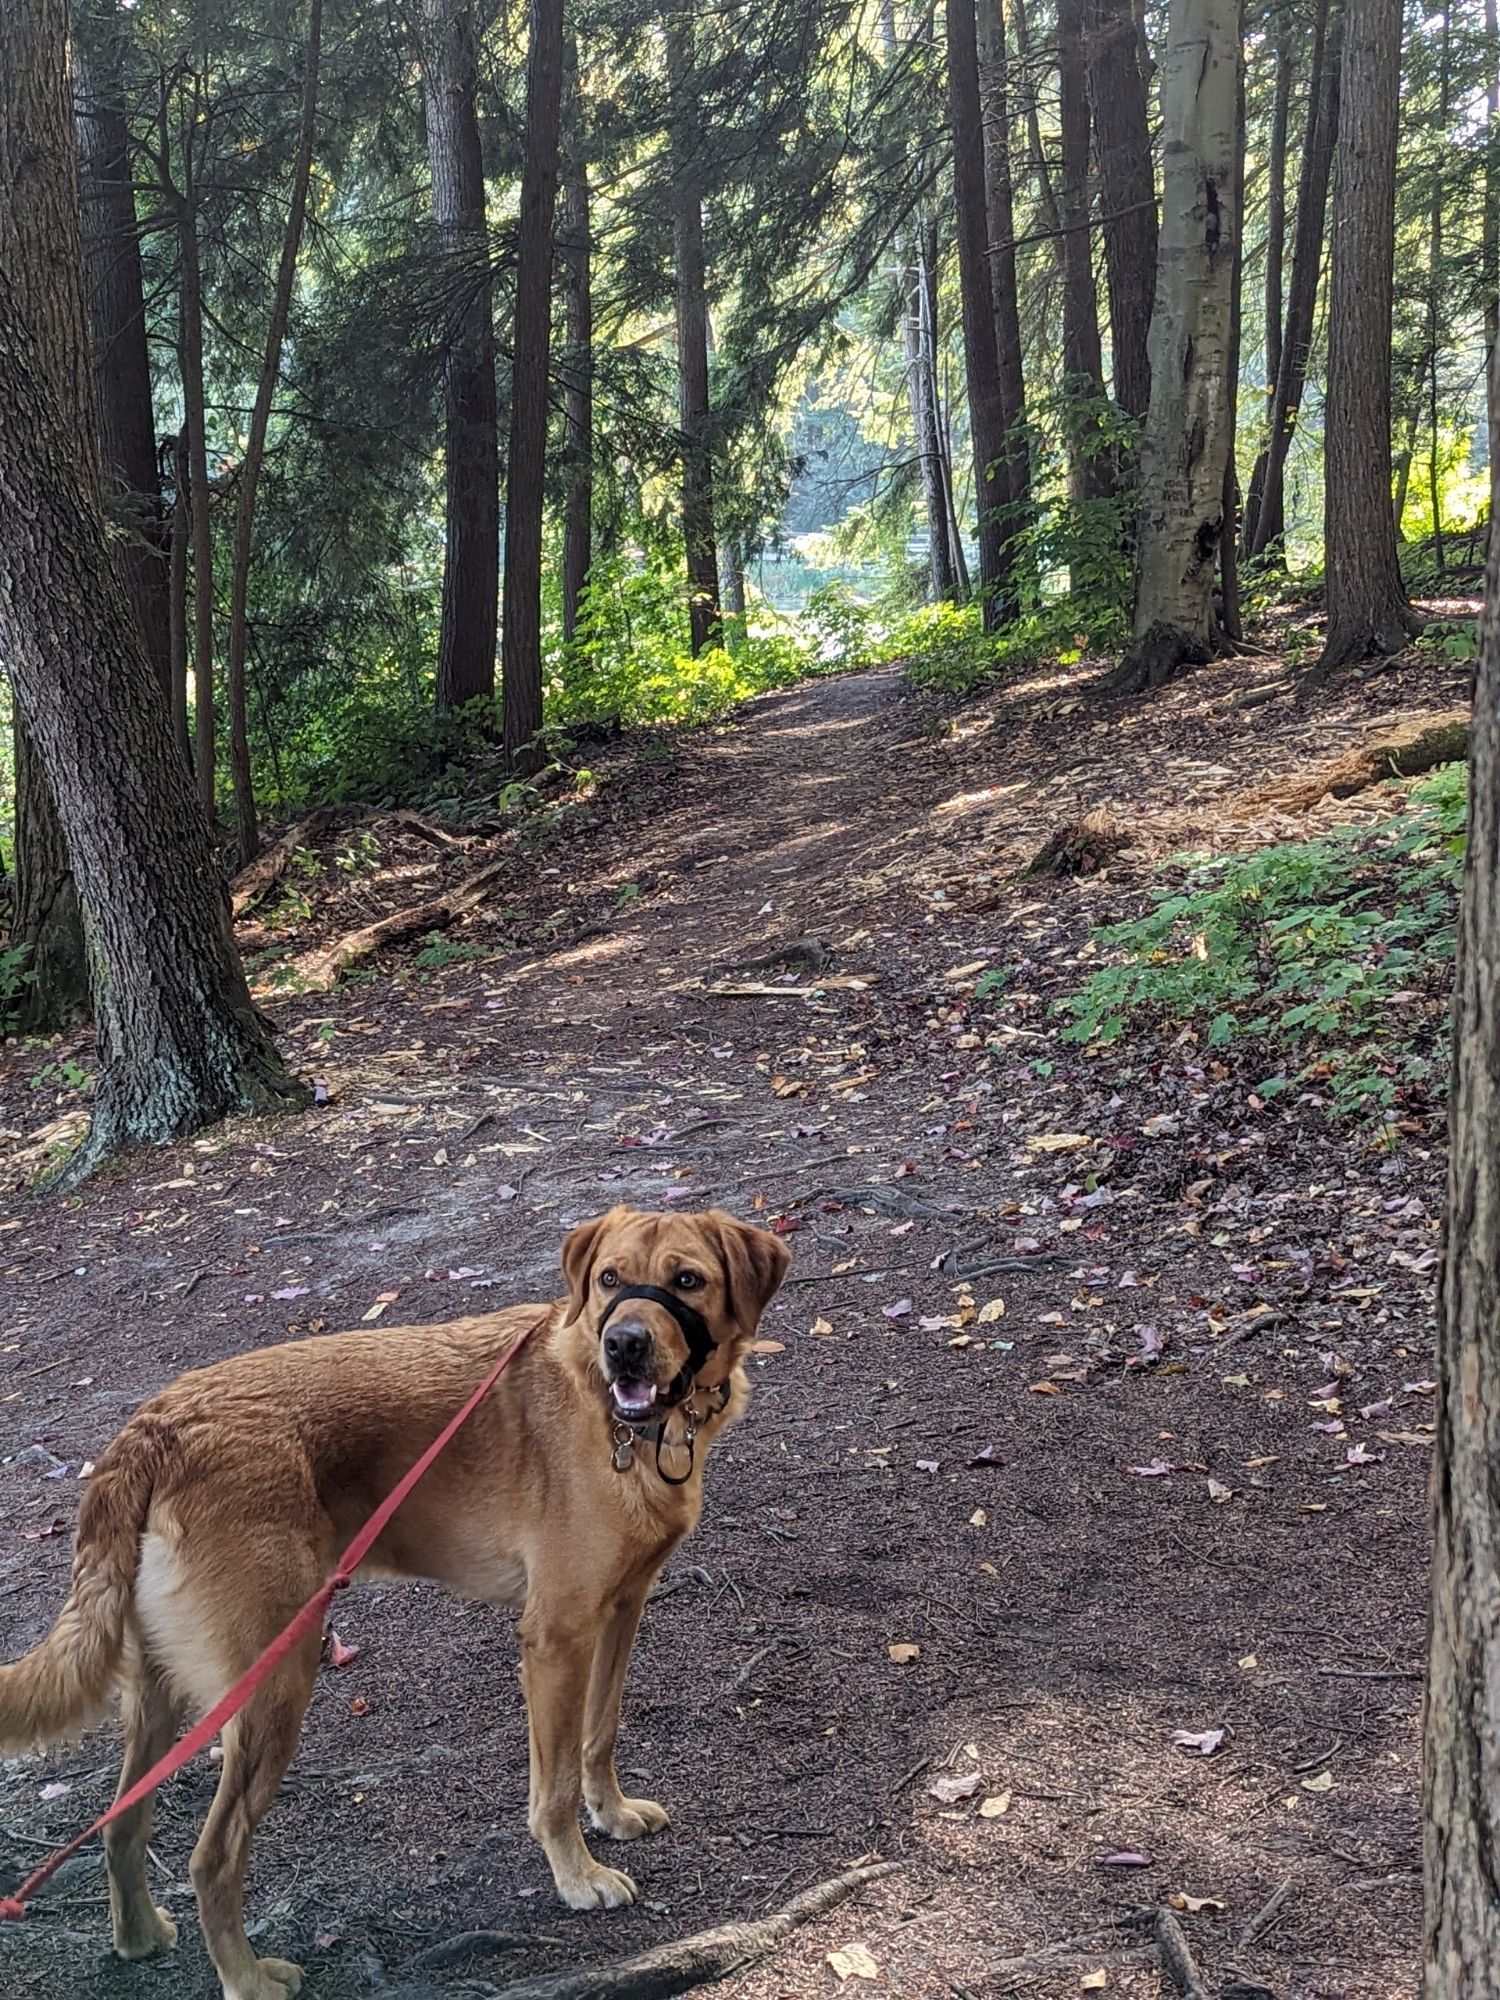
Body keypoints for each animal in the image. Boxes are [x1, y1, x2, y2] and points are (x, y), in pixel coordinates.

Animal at [0, 1200, 792, 2000]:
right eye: (608, 1279)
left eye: (687, 1281)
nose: (623, 1344)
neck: (621, 1420)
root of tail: (151, 1428)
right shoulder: (556, 1637)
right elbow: (557, 1783)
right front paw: (578, 1876)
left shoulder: (621, 1612)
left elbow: (600, 1735)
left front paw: (613, 1814)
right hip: (274, 1688)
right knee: (212, 1857)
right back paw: (248, 1979)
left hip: (160, 1697)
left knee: (121, 1826)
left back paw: (139, 1938)